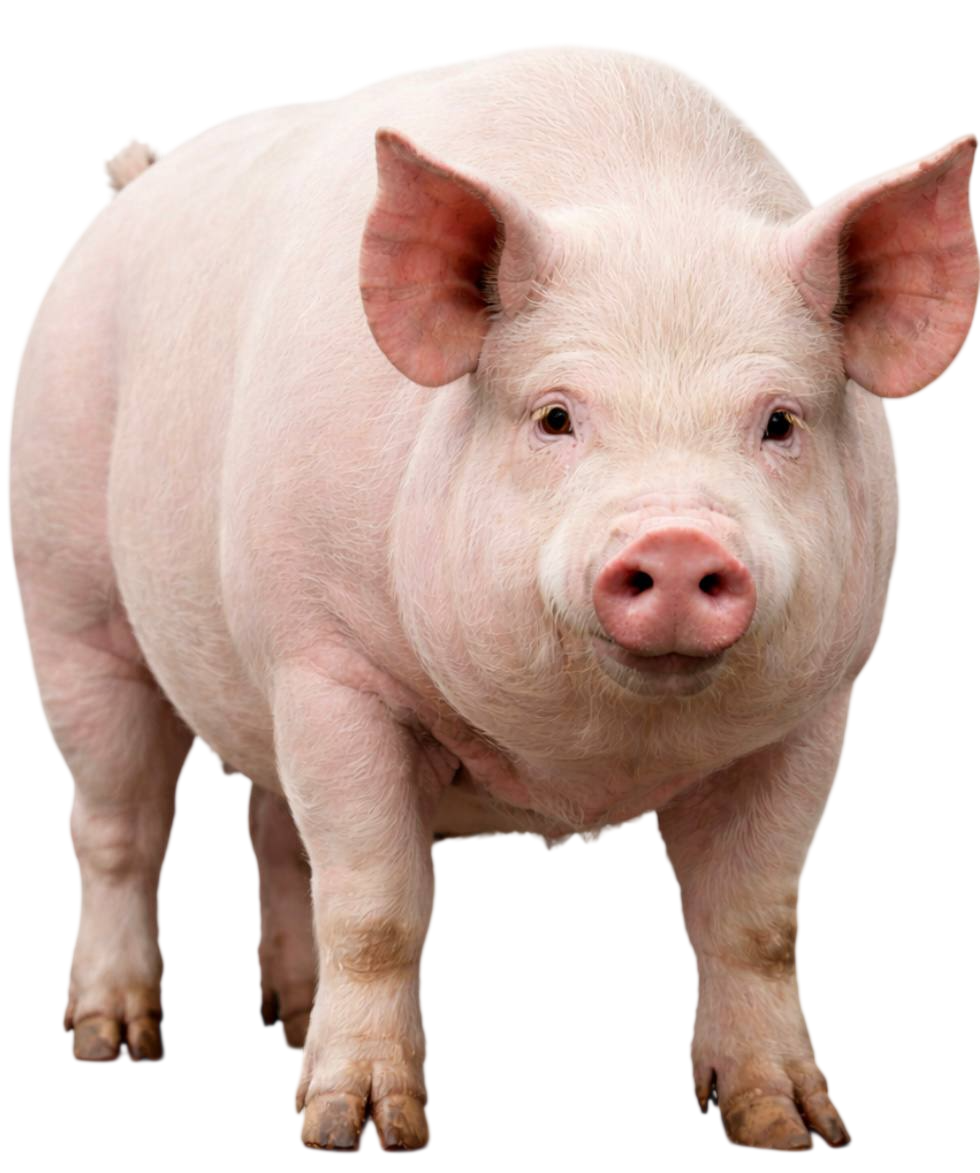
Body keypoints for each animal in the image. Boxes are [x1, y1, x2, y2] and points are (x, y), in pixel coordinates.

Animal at [8, 41, 977, 1155]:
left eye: (778, 422)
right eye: (554, 415)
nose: (677, 538)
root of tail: (137, 177)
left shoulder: (818, 707)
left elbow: (757, 916)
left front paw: (792, 1128)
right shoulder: (327, 663)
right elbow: (376, 906)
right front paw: (355, 1131)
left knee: (273, 830)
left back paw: (289, 1022)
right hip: (62, 586)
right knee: (118, 820)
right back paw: (111, 1041)